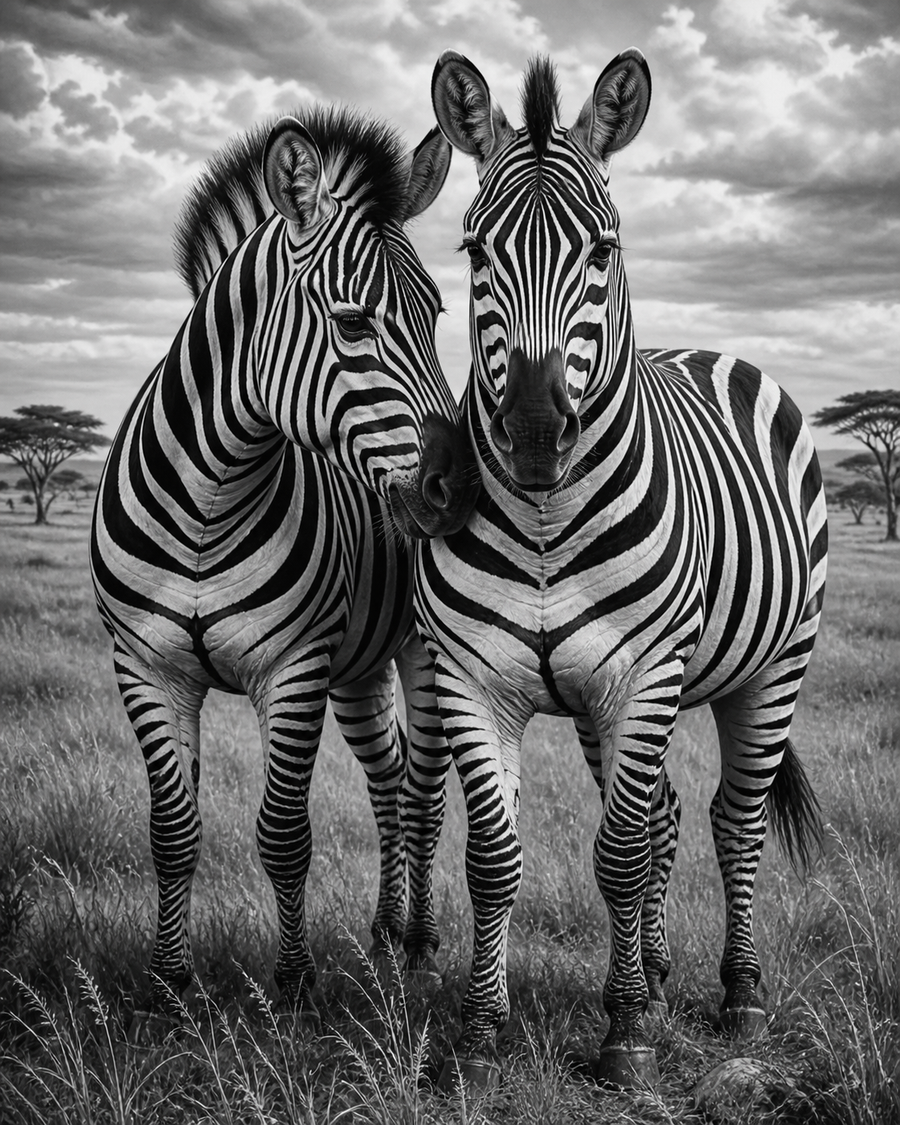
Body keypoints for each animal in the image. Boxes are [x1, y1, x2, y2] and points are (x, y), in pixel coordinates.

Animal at [90, 105, 478, 1032]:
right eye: (354, 323)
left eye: (438, 314)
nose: (457, 492)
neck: (208, 498)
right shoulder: (145, 665)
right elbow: (173, 830)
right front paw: (169, 984)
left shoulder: (293, 667)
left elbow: (283, 833)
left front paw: (294, 986)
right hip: (359, 668)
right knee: (387, 779)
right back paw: (382, 930)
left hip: (419, 650)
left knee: (423, 788)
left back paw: (417, 940)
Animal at [401, 50, 827, 1090]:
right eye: (474, 253)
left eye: (603, 250)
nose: (534, 436)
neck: (547, 524)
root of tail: (717, 352)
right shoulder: (474, 679)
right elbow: (497, 856)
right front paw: (482, 1032)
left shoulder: (642, 673)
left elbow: (622, 855)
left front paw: (625, 1032)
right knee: (669, 812)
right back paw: (663, 975)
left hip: (772, 665)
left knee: (730, 820)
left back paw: (737, 995)